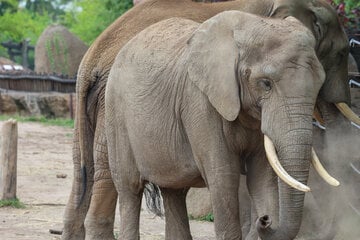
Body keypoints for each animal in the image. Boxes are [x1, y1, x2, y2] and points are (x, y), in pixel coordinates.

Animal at [60, 0, 358, 239]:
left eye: (318, 82)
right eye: (265, 84)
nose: (265, 220)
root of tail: (93, 55)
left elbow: (262, 176)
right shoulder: (200, 102)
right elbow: (223, 177)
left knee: (162, 189)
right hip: (114, 109)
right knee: (126, 184)